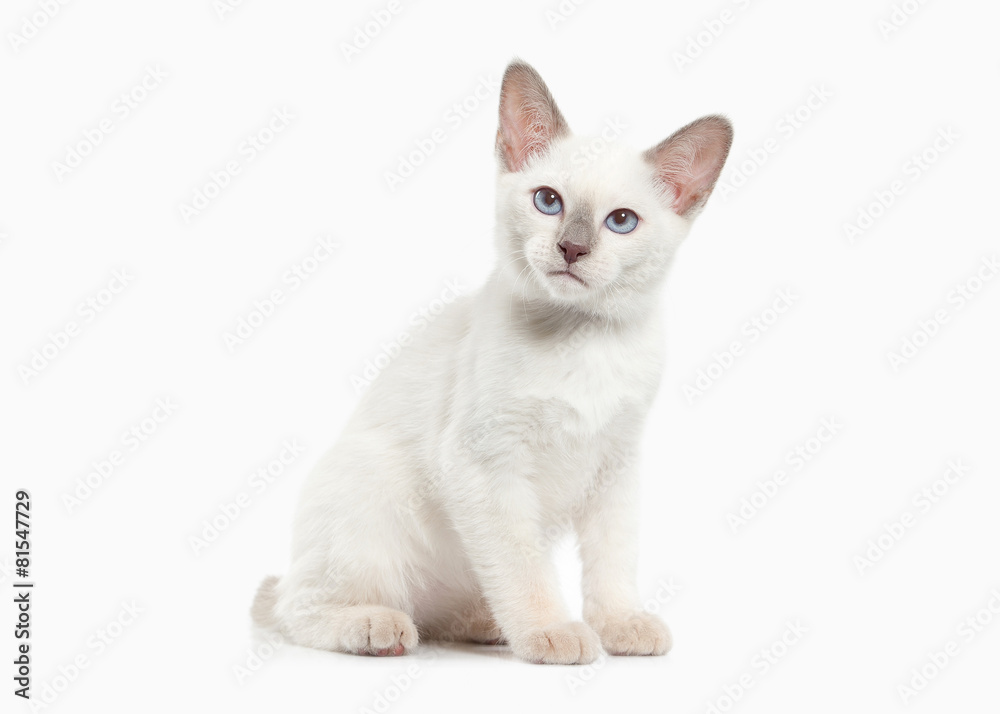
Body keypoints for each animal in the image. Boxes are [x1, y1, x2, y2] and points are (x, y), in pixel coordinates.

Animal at [254, 59, 732, 660]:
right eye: (548, 201)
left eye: (621, 221)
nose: (573, 249)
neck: (583, 340)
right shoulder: (486, 464)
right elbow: (523, 568)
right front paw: (552, 632)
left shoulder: (616, 465)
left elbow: (613, 561)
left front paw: (621, 624)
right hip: (371, 488)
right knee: (299, 609)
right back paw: (377, 627)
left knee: (442, 610)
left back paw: (485, 624)